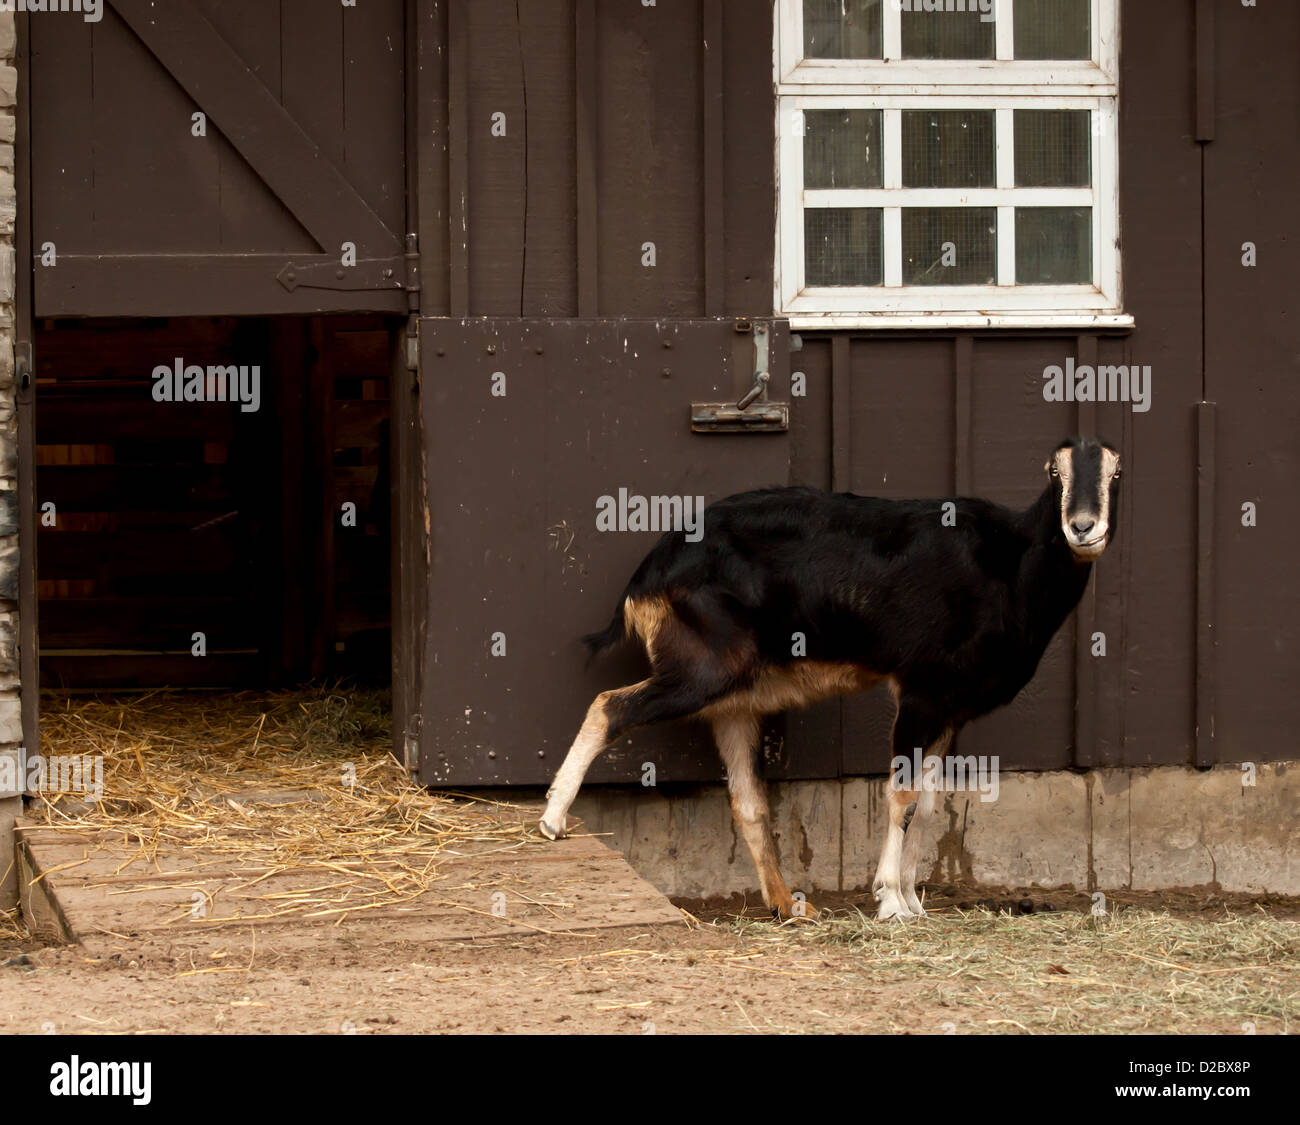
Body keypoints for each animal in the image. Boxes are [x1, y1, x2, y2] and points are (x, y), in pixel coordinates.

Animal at [538, 434, 1118, 915]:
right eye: (1055, 472)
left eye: (1115, 473)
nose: (1082, 528)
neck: (1009, 564)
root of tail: (647, 576)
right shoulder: (921, 691)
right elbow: (903, 797)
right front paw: (890, 902)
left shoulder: (950, 708)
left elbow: (930, 805)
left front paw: (915, 903)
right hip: (700, 670)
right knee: (610, 704)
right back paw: (552, 820)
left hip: (734, 702)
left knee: (748, 799)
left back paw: (790, 906)